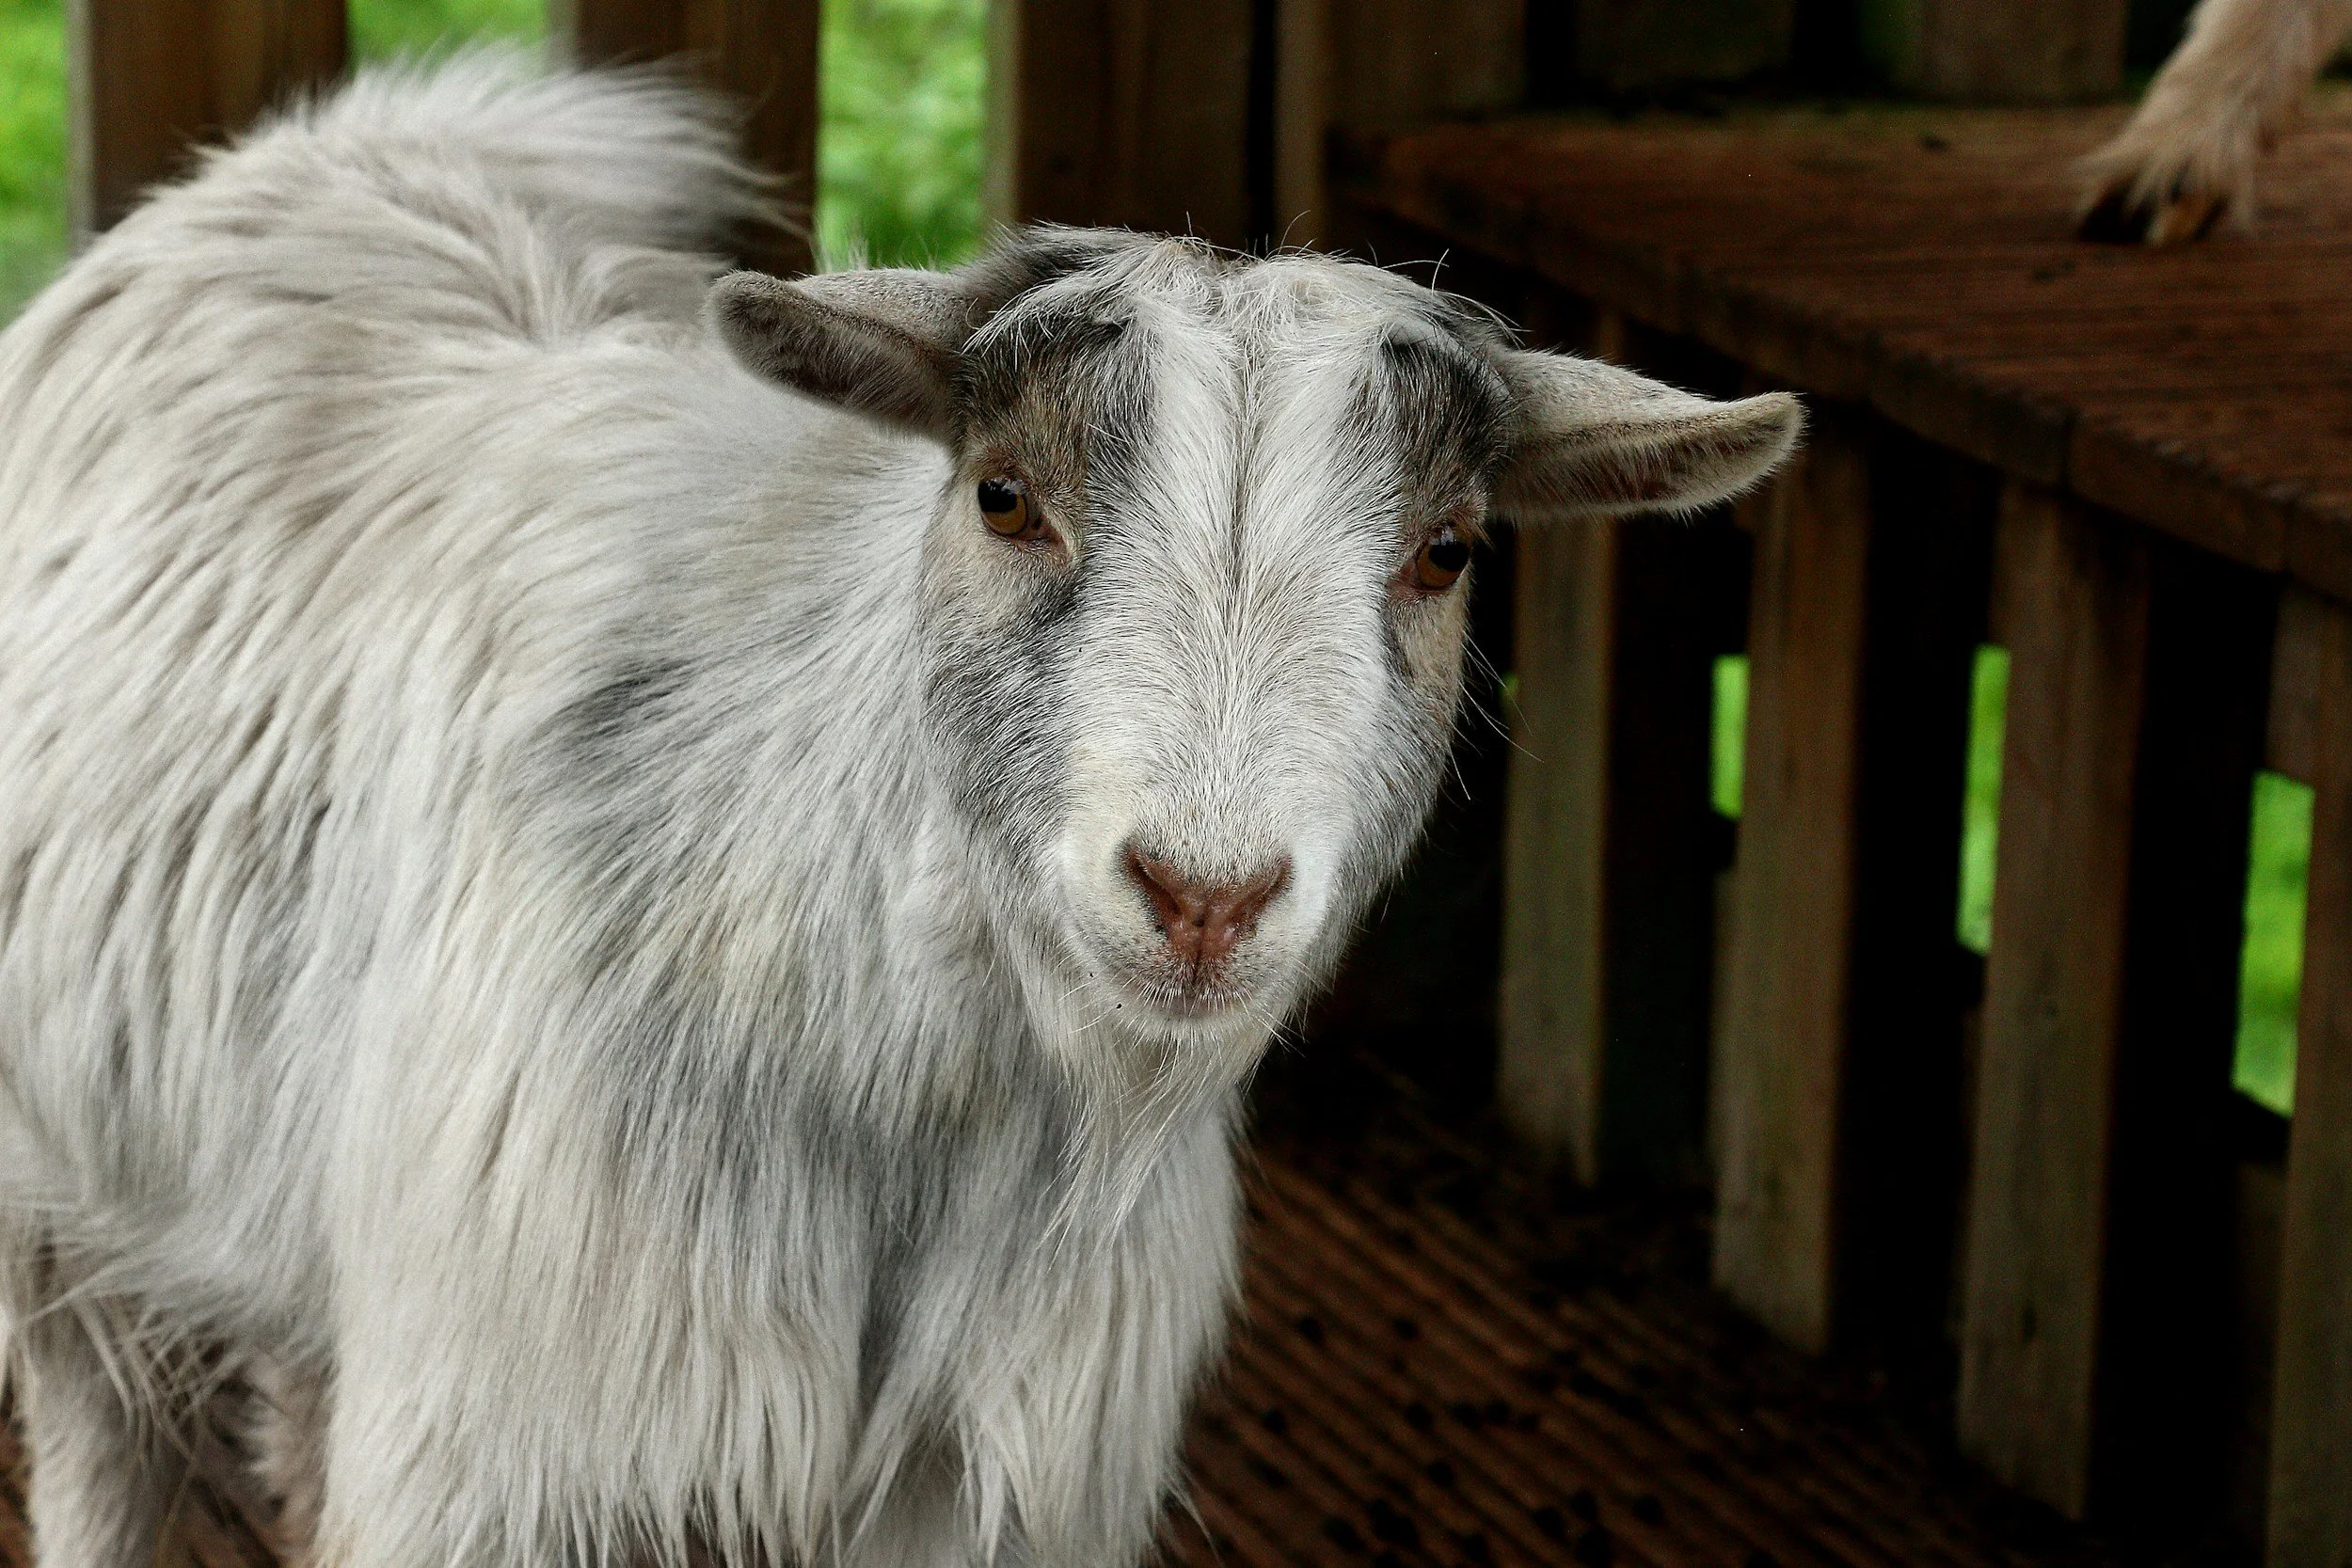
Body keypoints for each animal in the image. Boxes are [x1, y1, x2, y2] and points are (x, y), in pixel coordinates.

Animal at [0, 53, 1801, 1568]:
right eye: (1002, 495)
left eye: (1447, 551)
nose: (1202, 896)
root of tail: (355, 140)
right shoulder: (519, 1437)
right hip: (68, 1209)